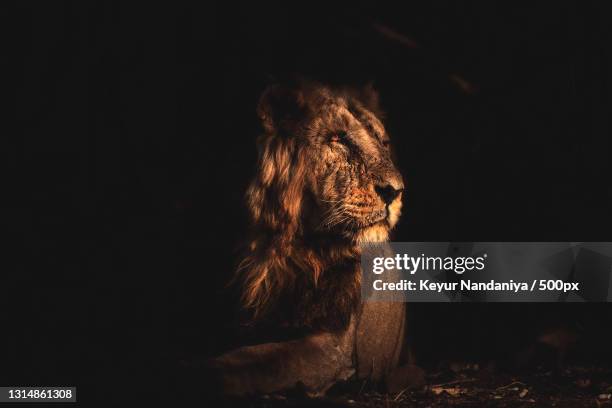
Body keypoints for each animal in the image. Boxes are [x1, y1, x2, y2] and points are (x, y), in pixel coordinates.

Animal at [208, 80, 408, 398]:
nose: (396, 190)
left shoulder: (333, 347)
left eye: (383, 143)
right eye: (338, 138)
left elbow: (253, 364)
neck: (276, 252)